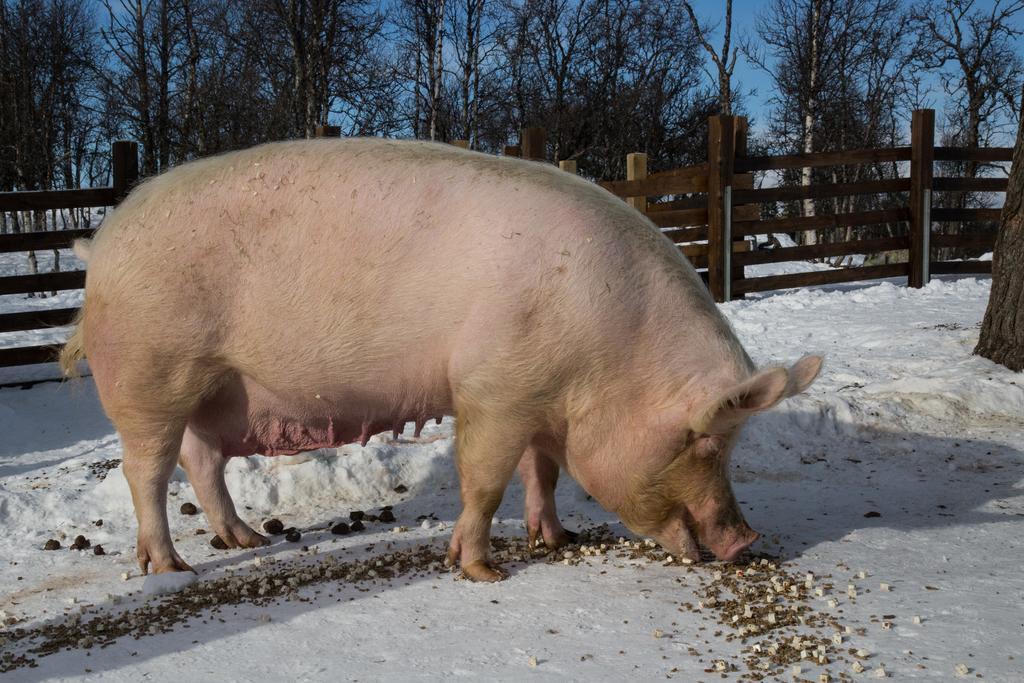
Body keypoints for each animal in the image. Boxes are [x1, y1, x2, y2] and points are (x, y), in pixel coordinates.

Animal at [59, 137, 819, 581]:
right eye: (703, 440)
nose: (745, 540)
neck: (611, 355)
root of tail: (100, 246)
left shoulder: (537, 399)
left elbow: (542, 472)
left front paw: (554, 539)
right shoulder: (492, 389)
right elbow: (483, 481)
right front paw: (483, 571)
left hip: (212, 390)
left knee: (202, 461)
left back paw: (243, 540)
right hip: (151, 375)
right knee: (146, 471)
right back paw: (171, 568)